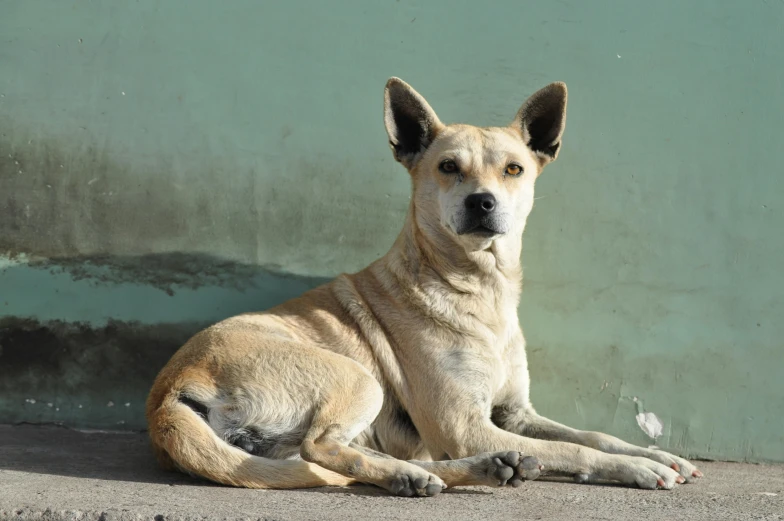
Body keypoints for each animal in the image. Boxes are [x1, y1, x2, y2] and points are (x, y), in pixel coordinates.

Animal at [147, 77, 704, 496]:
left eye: (514, 169)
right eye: (448, 167)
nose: (482, 202)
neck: (478, 289)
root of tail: (166, 396)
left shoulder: (516, 416)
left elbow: (595, 434)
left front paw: (656, 453)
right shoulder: (465, 426)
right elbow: (574, 447)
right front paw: (640, 468)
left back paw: (465, 471)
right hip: (357, 378)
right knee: (322, 448)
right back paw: (419, 475)